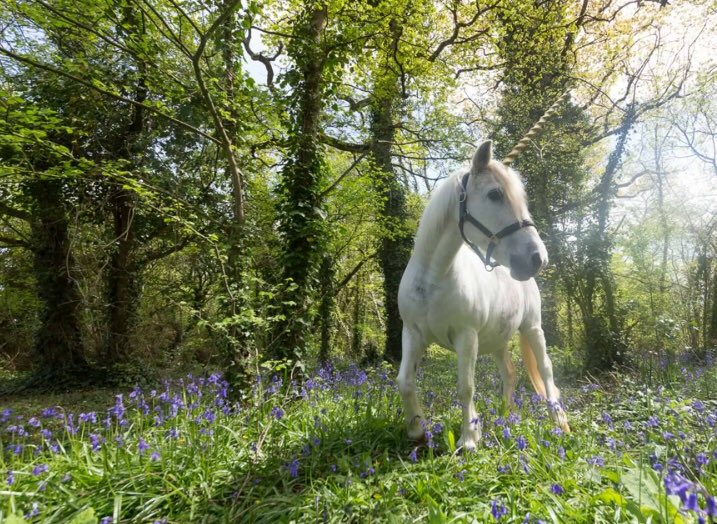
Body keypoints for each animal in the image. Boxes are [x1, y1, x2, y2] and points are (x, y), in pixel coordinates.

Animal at [396, 140, 570, 451]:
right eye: (495, 194)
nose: (538, 258)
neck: (433, 279)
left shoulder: (466, 336)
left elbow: (465, 387)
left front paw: (469, 438)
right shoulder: (412, 333)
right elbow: (405, 381)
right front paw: (418, 431)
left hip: (532, 328)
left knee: (545, 369)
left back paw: (558, 419)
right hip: (499, 339)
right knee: (509, 373)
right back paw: (507, 416)